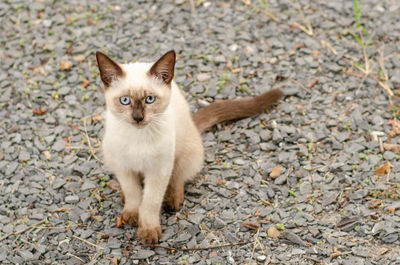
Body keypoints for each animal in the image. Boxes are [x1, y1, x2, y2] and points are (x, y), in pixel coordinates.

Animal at [96, 50, 284, 243]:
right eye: (125, 100)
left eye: (150, 99)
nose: (138, 118)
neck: (138, 137)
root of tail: (193, 123)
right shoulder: (123, 166)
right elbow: (133, 193)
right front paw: (132, 215)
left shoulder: (159, 169)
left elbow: (151, 202)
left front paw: (148, 232)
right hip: (109, 155)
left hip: (184, 154)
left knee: (178, 179)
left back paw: (172, 200)